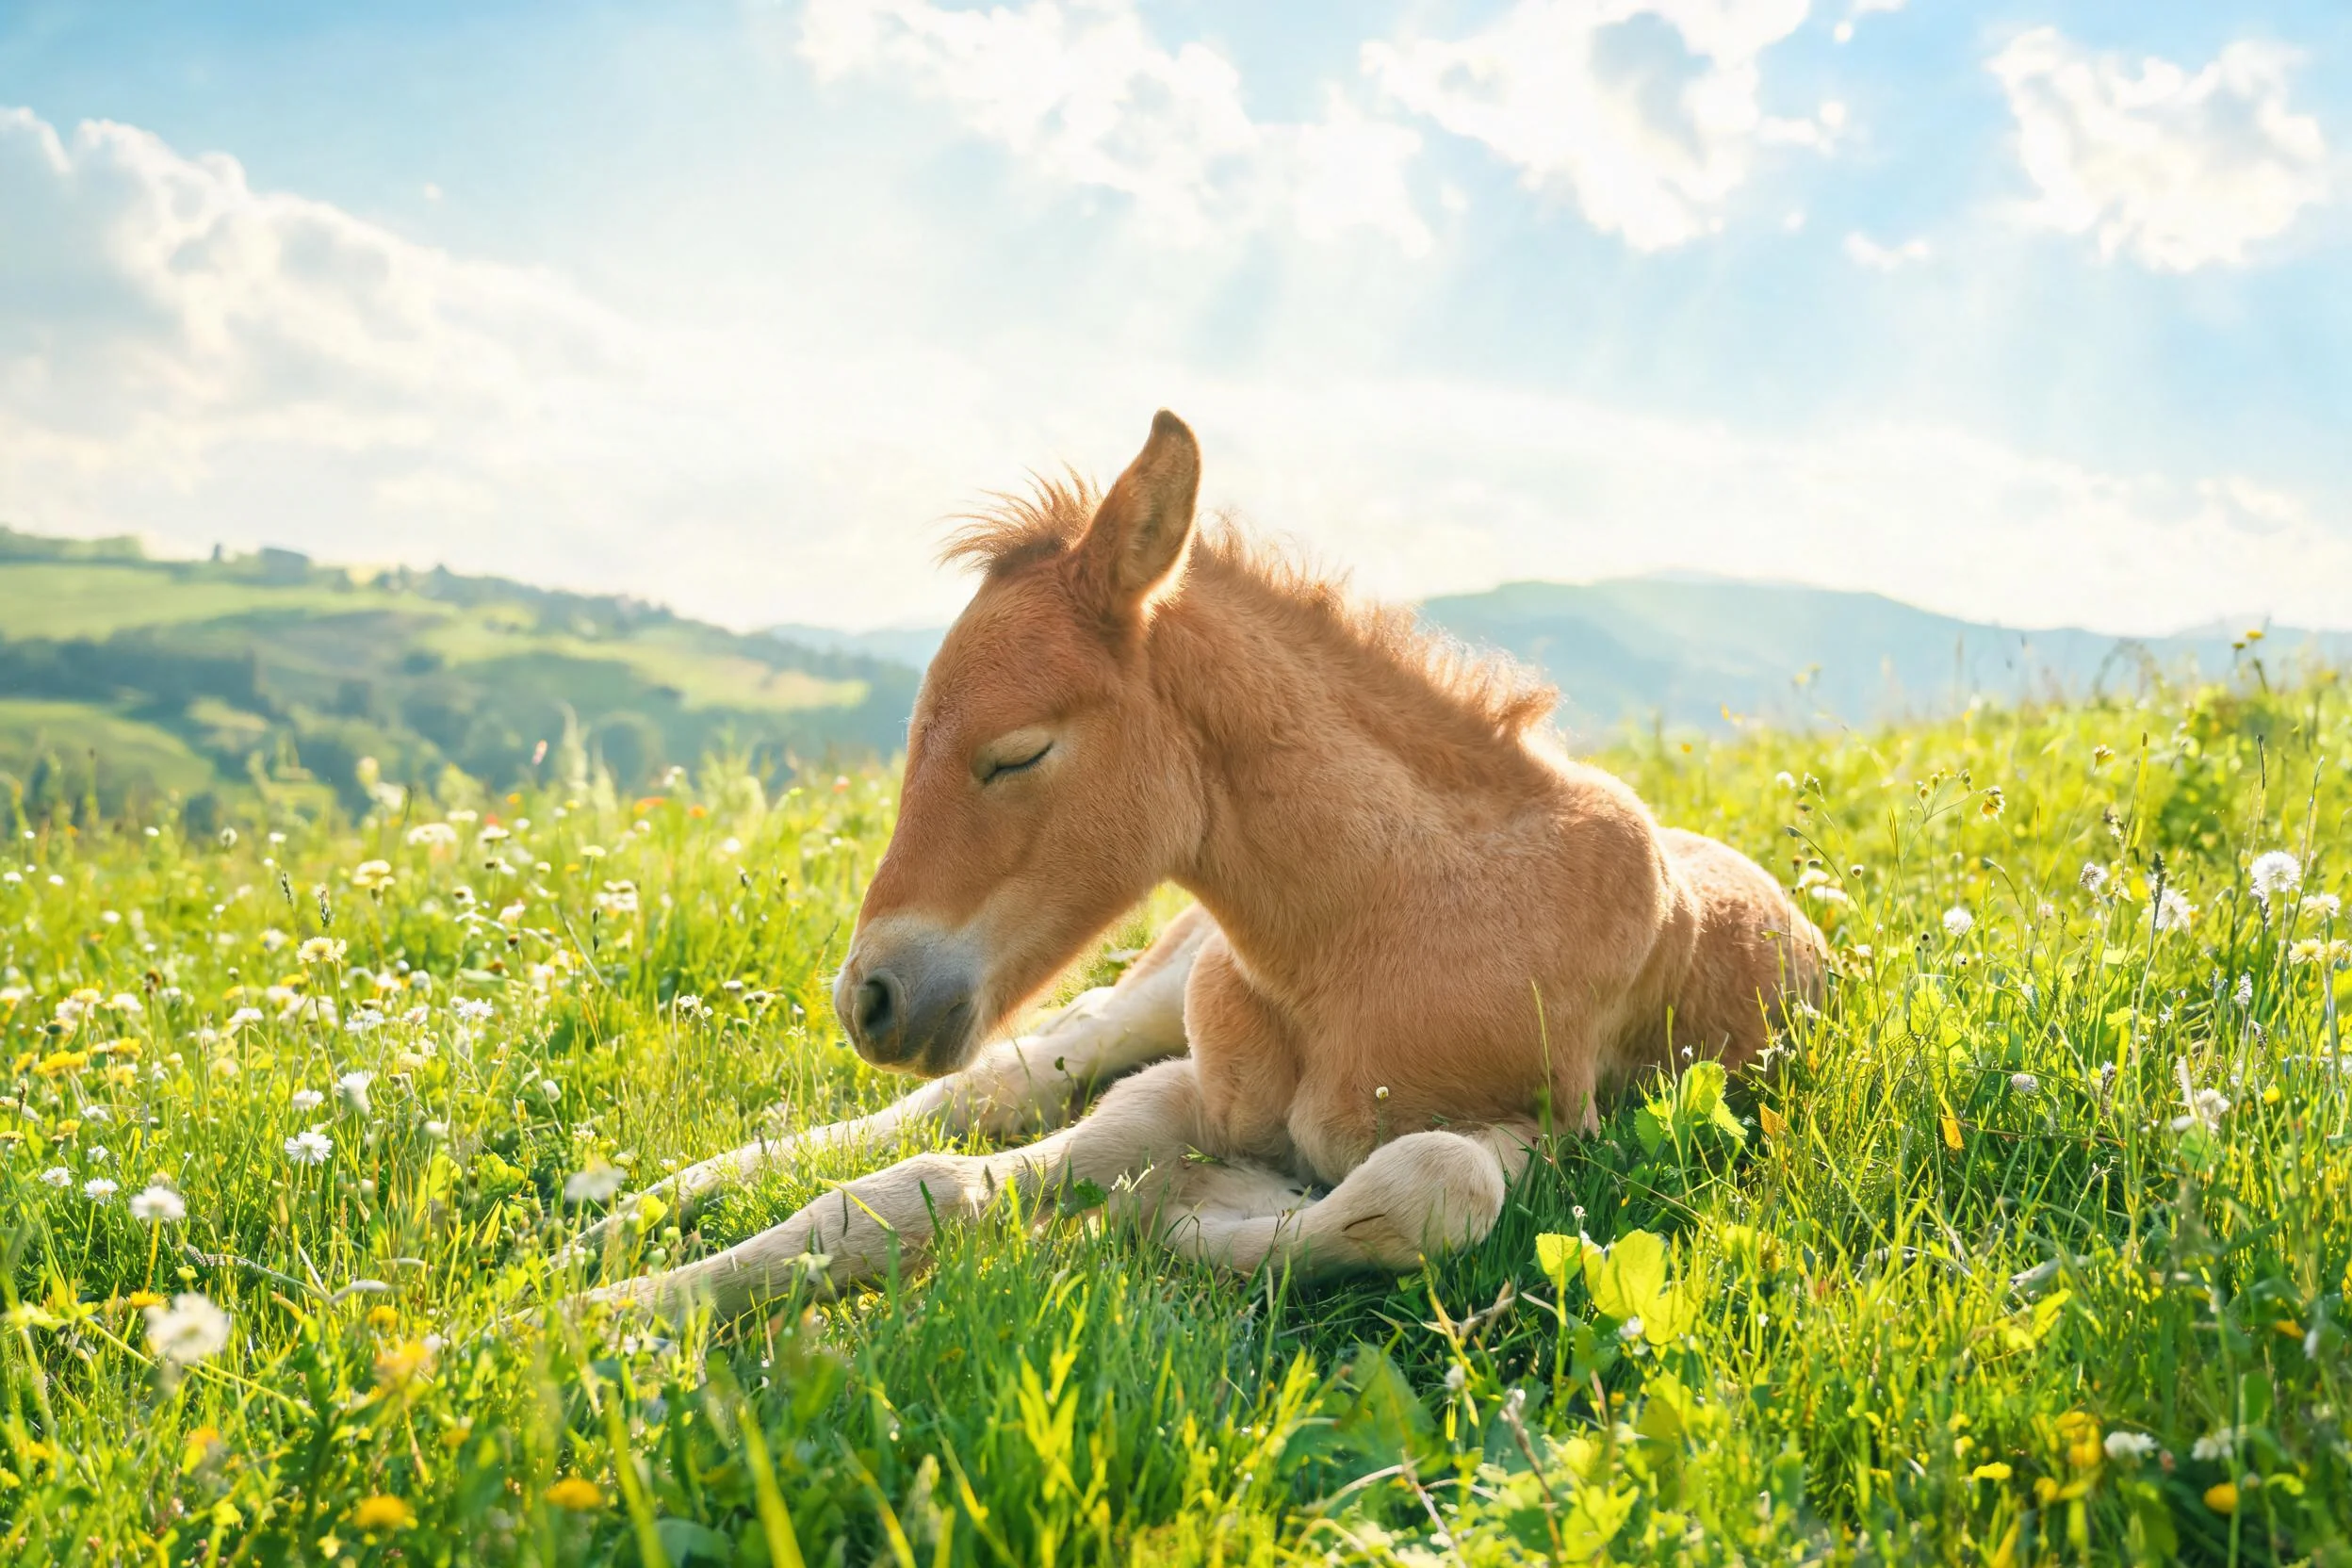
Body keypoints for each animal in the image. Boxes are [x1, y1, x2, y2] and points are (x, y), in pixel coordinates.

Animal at [591, 411, 1824, 1317]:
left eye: (1017, 751)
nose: (870, 997)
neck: (1387, 925)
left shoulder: (1556, 1137)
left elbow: (1427, 1186)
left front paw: (1177, 1212)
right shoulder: (1183, 1077)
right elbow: (919, 1186)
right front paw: (591, 1319)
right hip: (1156, 990)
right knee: (1001, 1079)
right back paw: (646, 1200)